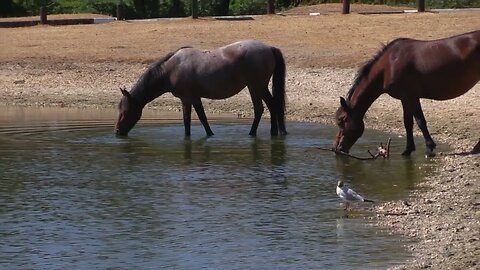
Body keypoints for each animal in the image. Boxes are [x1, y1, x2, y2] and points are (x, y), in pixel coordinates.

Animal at [115, 39, 288, 137]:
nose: (117, 132)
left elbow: (196, 119)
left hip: (255, 87)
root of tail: (269, 48)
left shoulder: (189, 98)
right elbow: (193, 120)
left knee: (260, 109)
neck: (170, 70)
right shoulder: (190, 98)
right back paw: (273, 133)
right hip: (260, 87)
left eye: (126, 112)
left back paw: (252, 134)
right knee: (272, 106)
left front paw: (206, 135)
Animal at [334, 30, 480, 156]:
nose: (338, 149)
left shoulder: (410, 97)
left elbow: (420, 121)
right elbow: (408, 123)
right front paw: (408, 149)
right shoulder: (405, 99)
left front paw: (429, 147)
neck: (389, 66)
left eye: (342, 120)